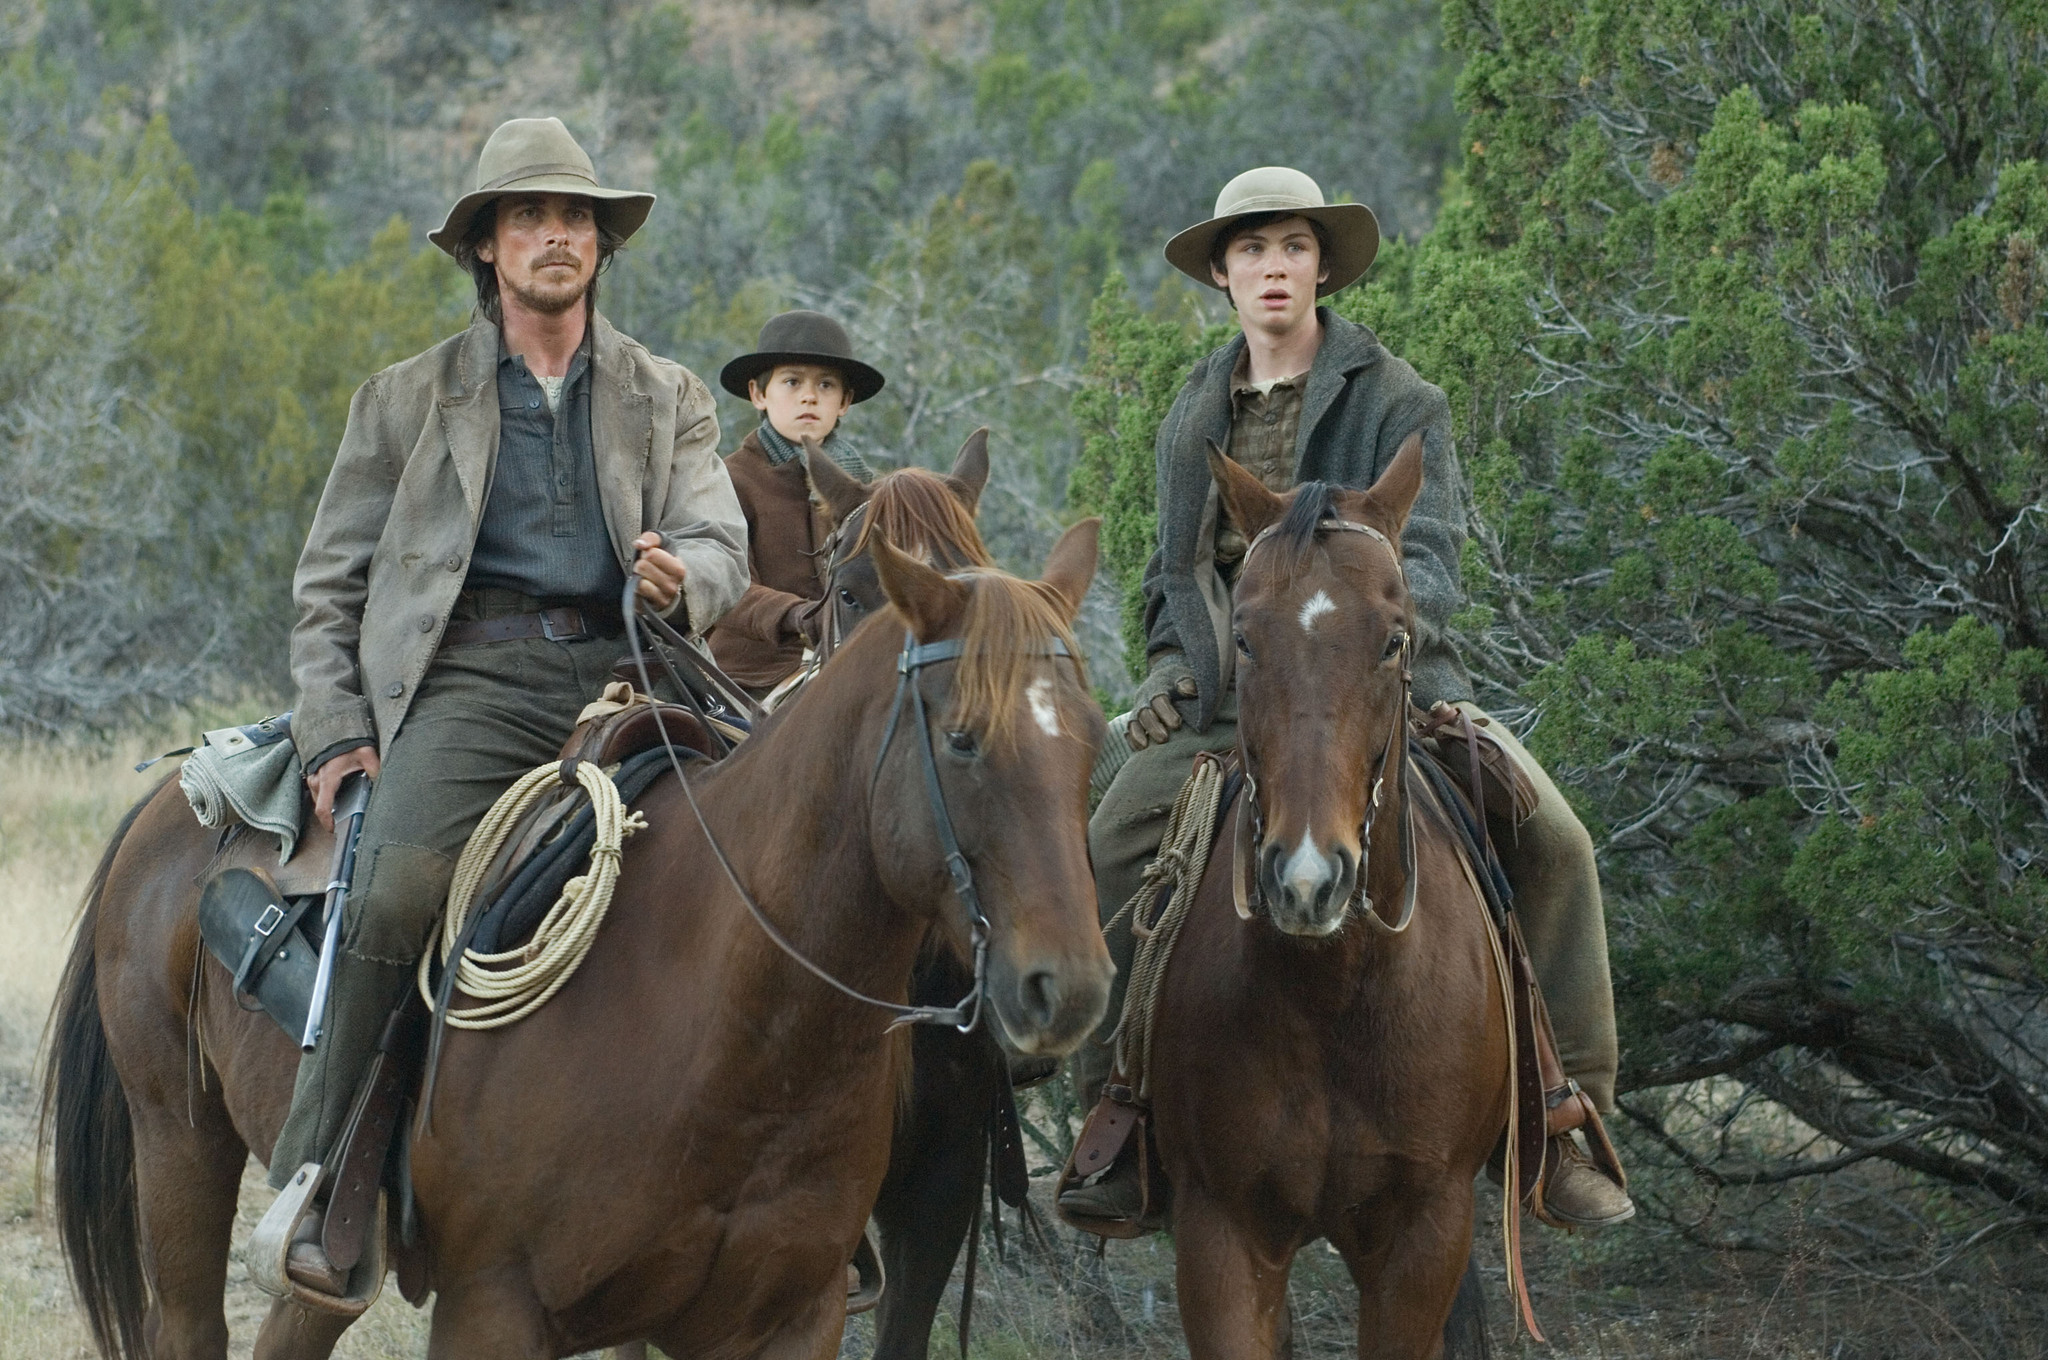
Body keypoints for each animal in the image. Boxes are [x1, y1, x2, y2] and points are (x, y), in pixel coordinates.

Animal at [39, 522, 1114, 1360]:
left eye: (1093, 740)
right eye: (963, 737)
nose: (1069, 985)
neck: (733, 1024)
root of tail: (164, 812)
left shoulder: (788, 1319)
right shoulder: (494, 1309)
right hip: (178, 1144)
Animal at [1146, 446, 1515, 1360]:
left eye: (1394, 639)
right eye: (1244, 638)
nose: (1308, 879)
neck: (1333, 994)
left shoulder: (1424, 1238)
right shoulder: (1222, 1234)